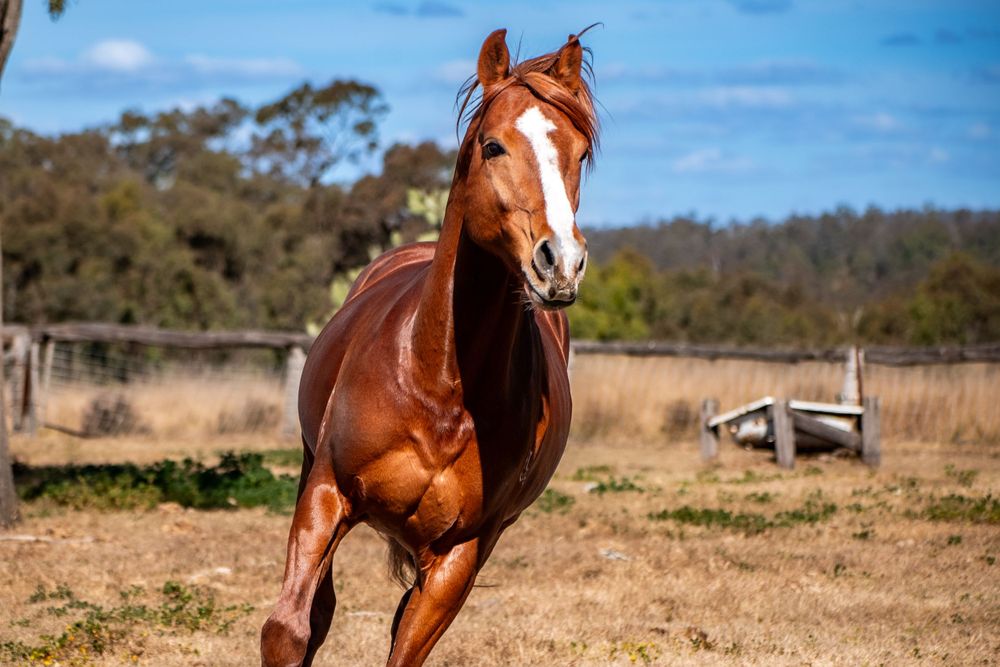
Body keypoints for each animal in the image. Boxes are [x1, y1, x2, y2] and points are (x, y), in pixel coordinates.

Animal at [260, 26, 599, 667]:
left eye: (580, 154)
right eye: (493, 146)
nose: (560, 263)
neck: (439, 385)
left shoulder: (459, 555)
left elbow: (404, 649)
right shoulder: (326, 494)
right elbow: (288, 631)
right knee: (319, 611)